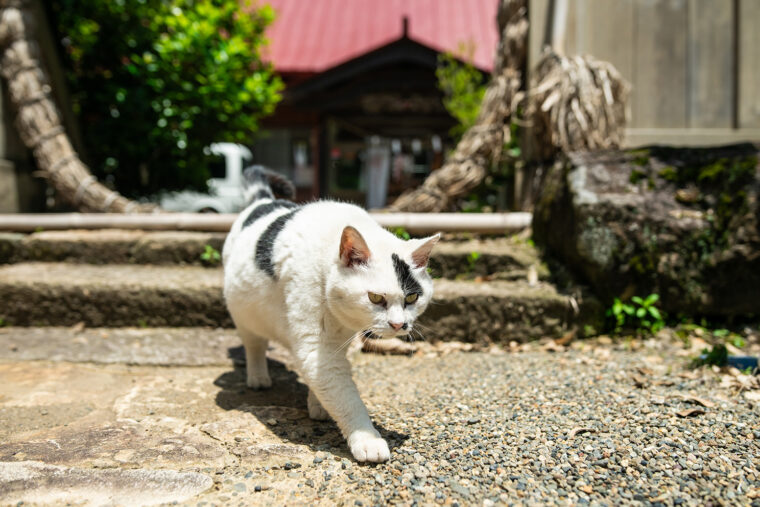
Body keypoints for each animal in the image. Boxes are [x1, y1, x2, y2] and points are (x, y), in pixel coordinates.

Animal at [223, 168, 440, 464]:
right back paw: (258, 378)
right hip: (243, 313)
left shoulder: (335, 342)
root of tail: (264, 200)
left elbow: (324, 382)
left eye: (411, 298)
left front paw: (318, 405)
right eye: (375, 298)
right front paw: (367, 440)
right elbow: (346, 398)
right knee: (254, 344)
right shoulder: (317, 347)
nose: (398, 324)